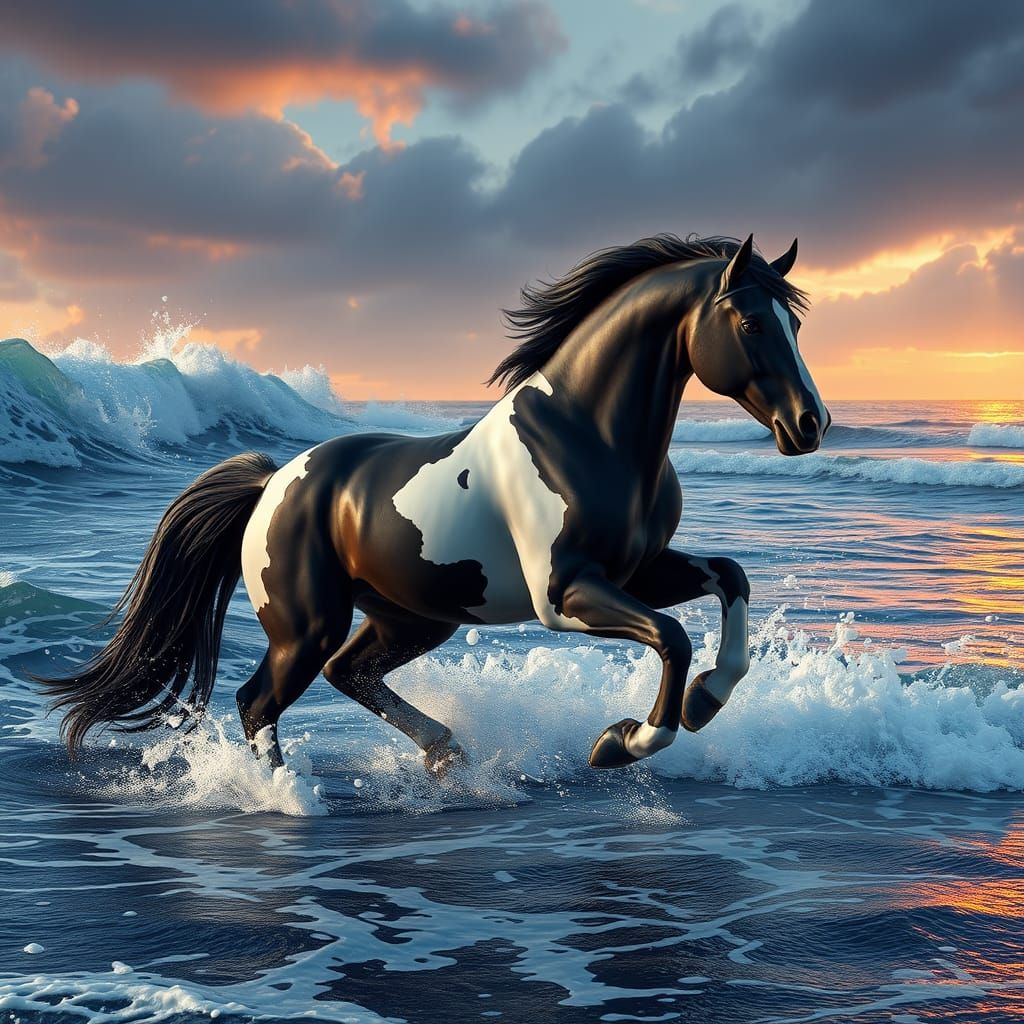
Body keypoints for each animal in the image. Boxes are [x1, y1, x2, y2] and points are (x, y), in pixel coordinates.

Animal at [42, 233, 829, 774]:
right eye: (753, 325)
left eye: (796, 326)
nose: (810, 424)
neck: (588, 434)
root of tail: (271, 485)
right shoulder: (565, 593)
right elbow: (671, 636)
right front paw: (623, 742)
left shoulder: (638, 569)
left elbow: (730, 578)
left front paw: (705, 700)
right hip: (307, 625)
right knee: (257, 700)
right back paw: (288, 798)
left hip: (414, 617)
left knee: (349, 673)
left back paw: (445, 752)